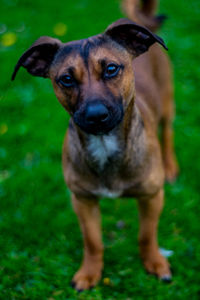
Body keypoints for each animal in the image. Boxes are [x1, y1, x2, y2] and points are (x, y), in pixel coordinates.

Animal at [12, 0, 178, 292]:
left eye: (111, 69)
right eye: (66, 79)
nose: (95, 115)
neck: (105, 144)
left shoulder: (151, 197)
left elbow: (147, 235)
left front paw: (155, 263)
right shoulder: (82, 200)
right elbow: (93, 241)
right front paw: (89, 273)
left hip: (168, 102)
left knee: (167, 132)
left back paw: (170, 166)